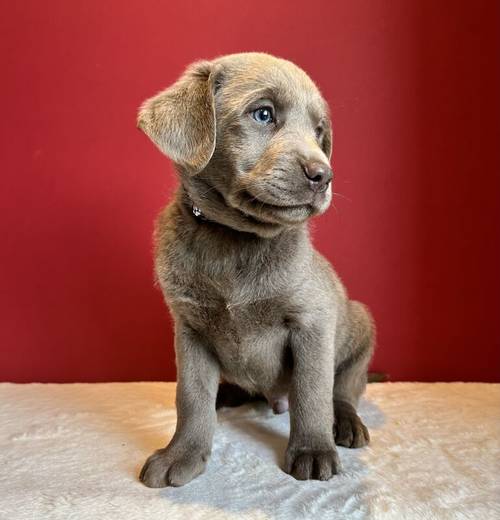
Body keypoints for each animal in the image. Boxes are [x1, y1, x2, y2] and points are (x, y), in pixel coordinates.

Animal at [138, 52, 376, 488]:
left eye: (319, 131)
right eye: (263, 114)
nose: (324, 175)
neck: (237, 241)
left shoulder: (312, 323)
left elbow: (312, 392)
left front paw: (312, 451)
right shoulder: (189, 328)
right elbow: (191, 397)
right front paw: (182, 455)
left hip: (360, 324)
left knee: (343, 391)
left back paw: (346, 425)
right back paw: (227, 395)